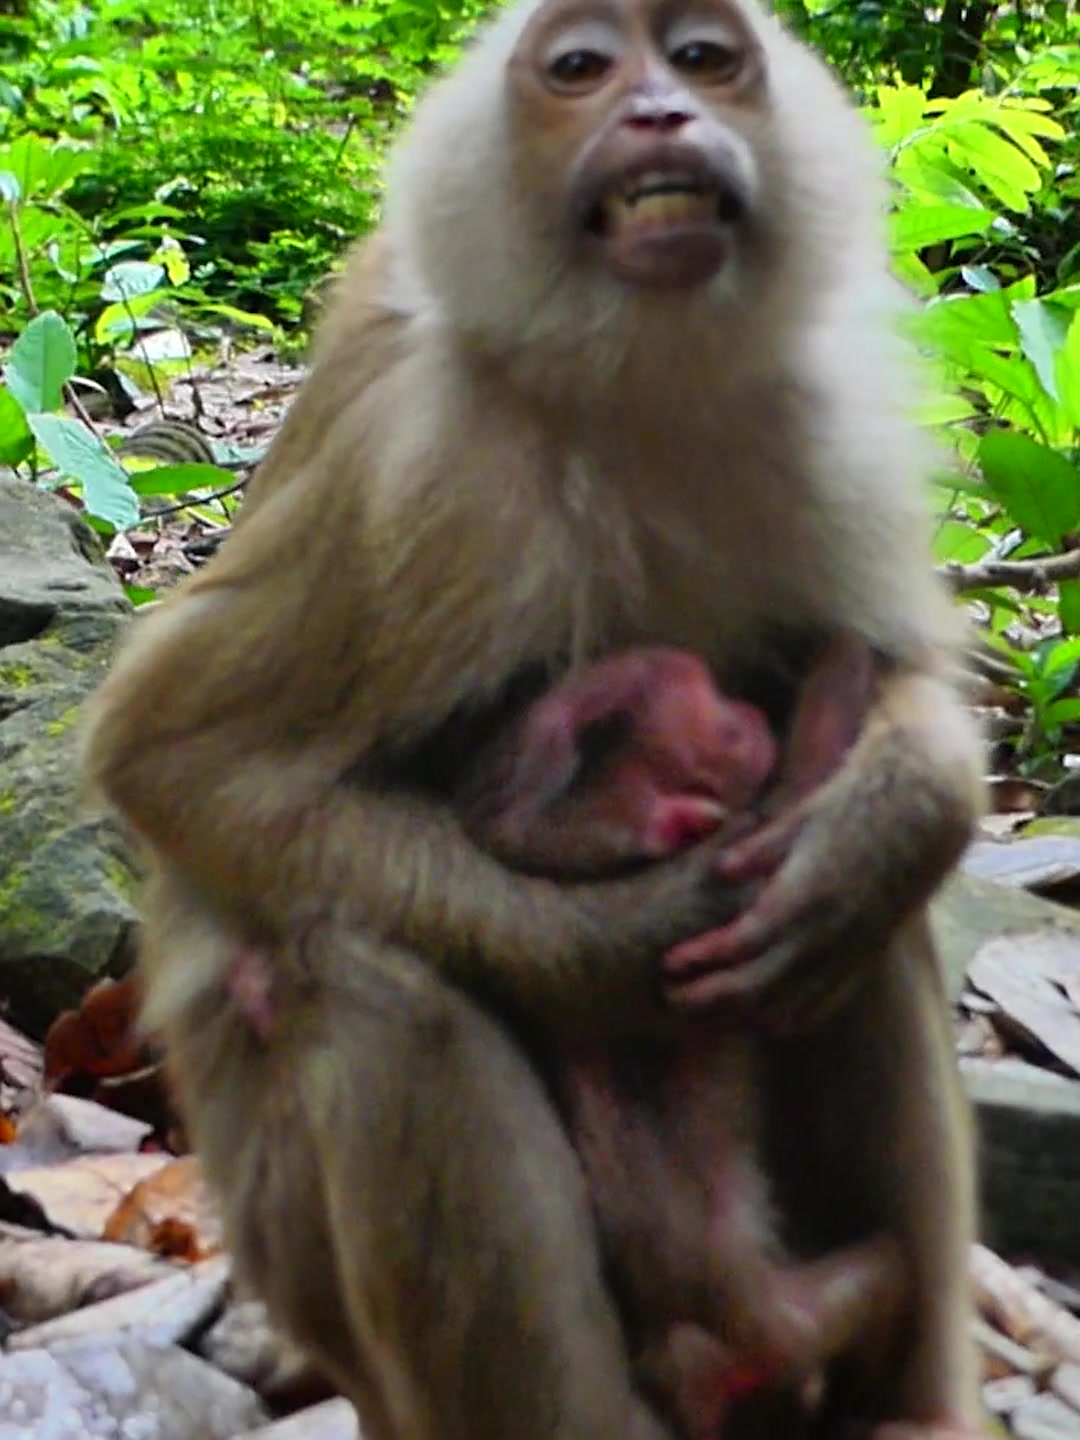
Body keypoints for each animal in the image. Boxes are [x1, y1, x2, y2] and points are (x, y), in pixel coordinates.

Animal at [80, 1, 988, 1439]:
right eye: (582, 70)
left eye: (703, 58)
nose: (662, 111)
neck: (630, 376)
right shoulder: (422, 468)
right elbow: (178, 758)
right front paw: (619, 946)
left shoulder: (828, 425)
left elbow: (899, 693)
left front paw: (898, 814)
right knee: (367, 987)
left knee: (863, 931)